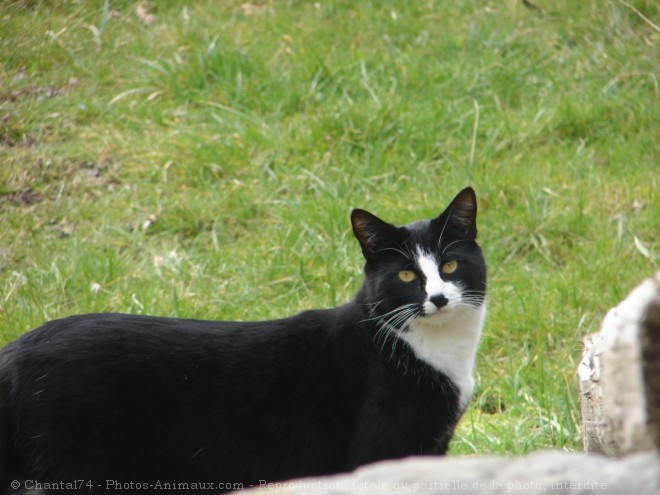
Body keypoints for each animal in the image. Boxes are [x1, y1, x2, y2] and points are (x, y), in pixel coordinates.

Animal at [0, 187, 484, 492]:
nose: (439, 297)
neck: (439, 352)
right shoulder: (382, 450)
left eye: (451, 265)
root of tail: (15, 354)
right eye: (406, 275)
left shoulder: (433, 449)